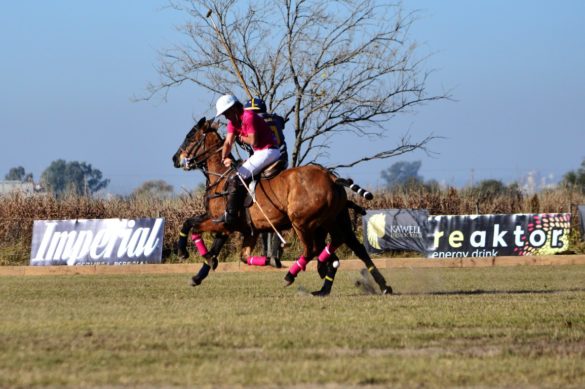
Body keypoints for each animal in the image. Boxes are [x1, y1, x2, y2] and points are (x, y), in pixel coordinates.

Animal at [173, 116, 392, 296]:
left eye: (190, 137)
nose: (175, 159)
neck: (222, 178)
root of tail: (330, 176)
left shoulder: (225, 222)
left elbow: (195, 227)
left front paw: (190, 255)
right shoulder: (240, 227)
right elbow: (197, 228)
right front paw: (198, 272)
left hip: (303, 222)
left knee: (314, 248)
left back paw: (294, 275)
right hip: (334, 220)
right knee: (354, 248)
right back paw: (371, 286)